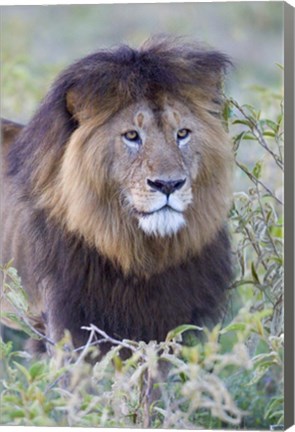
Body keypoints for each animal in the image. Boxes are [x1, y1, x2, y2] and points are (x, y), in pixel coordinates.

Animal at [1, 36, 235, 354]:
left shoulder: (169, 322)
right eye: (132, 136)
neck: (138, 253)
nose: (169, 184)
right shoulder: (64, 323)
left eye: (182, 133)